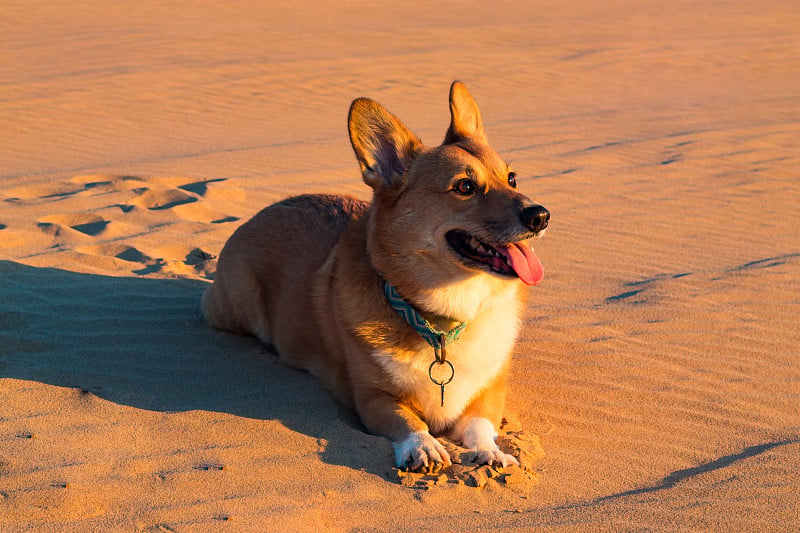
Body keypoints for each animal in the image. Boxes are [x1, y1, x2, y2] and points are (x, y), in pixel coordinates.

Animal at [200, 80, 552, 470]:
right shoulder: (373, 398)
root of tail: (262, 211)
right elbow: (409, 421)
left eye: (512, 178)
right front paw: (422, 446)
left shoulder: (490, 392)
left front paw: (490, 452)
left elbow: (480, 423)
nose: (541, 216)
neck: (441, 320)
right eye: (464, 187)